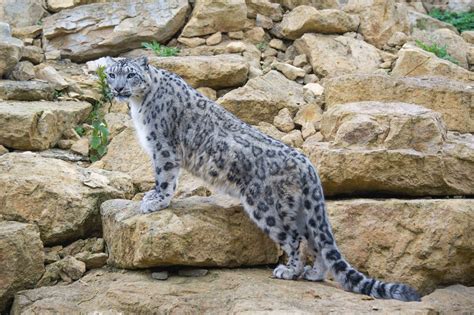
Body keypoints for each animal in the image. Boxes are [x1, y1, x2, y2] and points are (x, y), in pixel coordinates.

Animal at [105, 57, 420, 304]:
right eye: (111, 74)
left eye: (130, 74)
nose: (118, 88)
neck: (139, 104)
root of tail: (308, 165)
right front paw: (152, 198)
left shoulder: (162, 147)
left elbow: (165, 176)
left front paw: (155, 200)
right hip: (300, 210)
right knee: (314, 241)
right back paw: (314, 273)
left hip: (267, 207)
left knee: (293, 239)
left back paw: (289, 271)